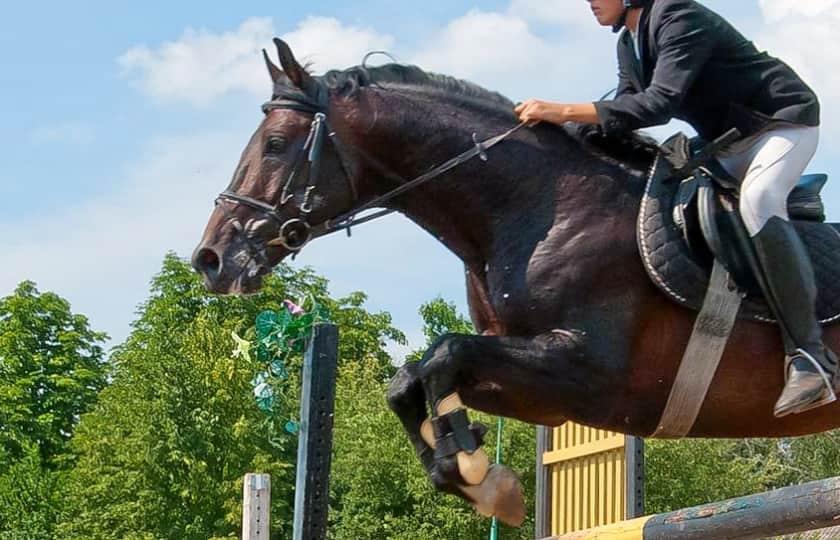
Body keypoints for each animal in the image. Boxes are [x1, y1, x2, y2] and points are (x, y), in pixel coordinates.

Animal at [191, 39, 840, 525]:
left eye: (276, 145)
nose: (211, 259)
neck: (540, 209)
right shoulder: (543, 395)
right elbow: (411, 379)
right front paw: (470, 471)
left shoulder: (594, 375)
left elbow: (443, 354)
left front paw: (472, 468)